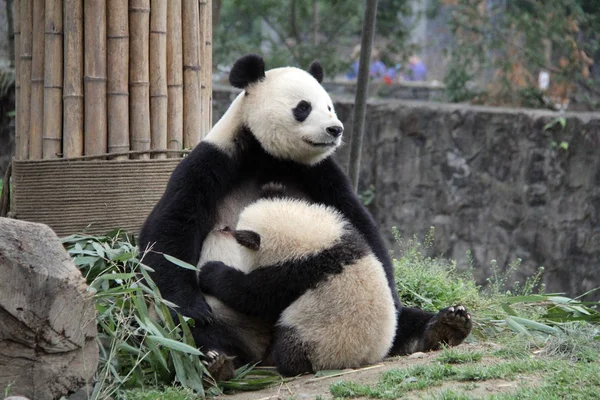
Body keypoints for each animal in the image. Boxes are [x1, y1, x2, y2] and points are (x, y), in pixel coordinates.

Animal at [197, 197, 398, 378]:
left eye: (239, 242)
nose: (224, 229)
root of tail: (364, 358)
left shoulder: (291, 273)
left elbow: (254, 297)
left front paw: (209, 271)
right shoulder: (346, 234)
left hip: (319, 338)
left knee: (291, 344)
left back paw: (287, 365)